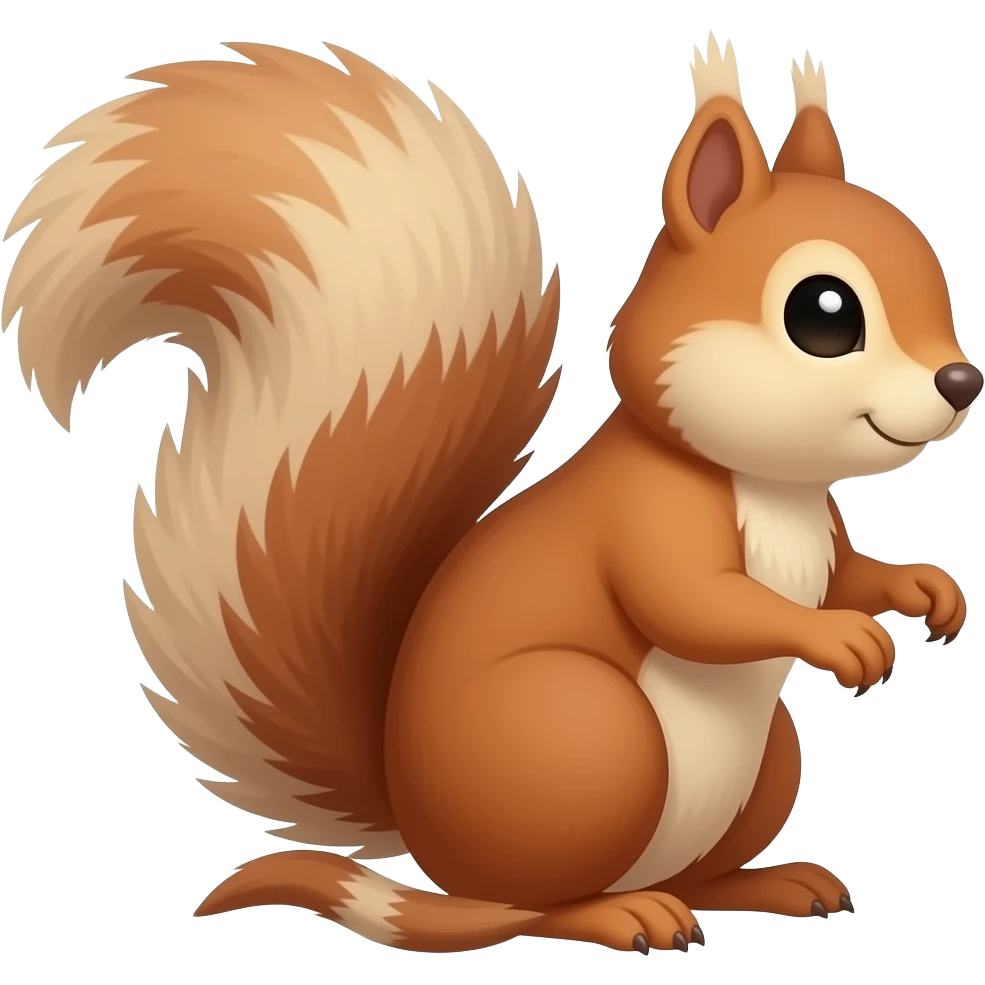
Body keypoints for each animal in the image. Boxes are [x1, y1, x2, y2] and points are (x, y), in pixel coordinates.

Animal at [3, 35, 979, 955]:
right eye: (823, 313)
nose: (960, 380)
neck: (769, 486)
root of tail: (428, 838)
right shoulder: (649, 515)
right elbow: (697, 603)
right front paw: (837, 636)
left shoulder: (821, 529)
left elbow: (848, 572)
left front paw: (921, 589)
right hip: (587, 735)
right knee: (534, 906)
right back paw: (623, 913)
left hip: (763, 759)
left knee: (679, 876)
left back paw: (762, 884)